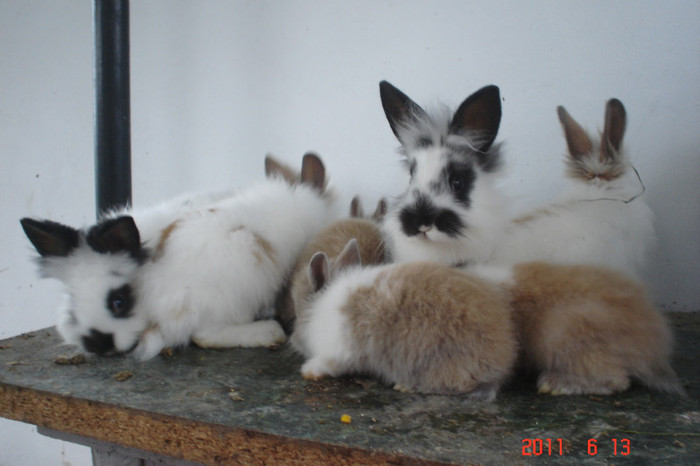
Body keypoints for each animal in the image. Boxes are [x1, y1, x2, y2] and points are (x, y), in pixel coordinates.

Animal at [292, 238, 520, 398]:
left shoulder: (338, 351)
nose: (293, 342)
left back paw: (407, 386)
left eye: (297, 311)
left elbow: (328, 364)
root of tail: (503, 358)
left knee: (459, 385)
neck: (320, 308)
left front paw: (307, 370)